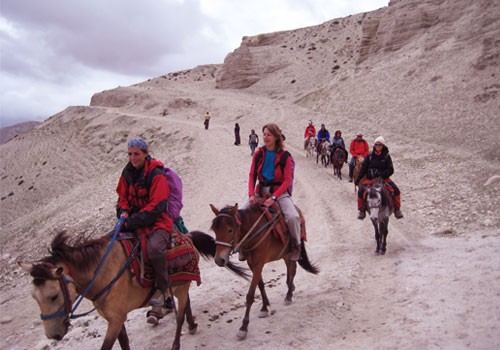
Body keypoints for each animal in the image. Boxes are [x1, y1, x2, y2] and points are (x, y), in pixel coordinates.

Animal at [19, 227, 246, 350]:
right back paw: (191, 325)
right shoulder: (115, 319)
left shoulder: (116, 319)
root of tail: (187, 237)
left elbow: (107, 346)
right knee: (185, 303)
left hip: (181, 287)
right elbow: (124, 343)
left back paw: (178, 340)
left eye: (53, 296)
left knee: (180, 314)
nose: (53, 335)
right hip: (178, 285)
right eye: (35, 298)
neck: (101, 273)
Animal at [208, 201, 318, 340]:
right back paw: (291, 287)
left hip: (292, 250)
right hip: (285, 253)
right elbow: (260, 285)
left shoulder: (259, 264)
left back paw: (289, 296)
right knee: (289, 269)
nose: (219, 260)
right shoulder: (252, 264)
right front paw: (265, 308)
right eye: (215, 230)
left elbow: (250, 295)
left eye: (230, 230)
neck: (253, 232)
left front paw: (243, 327)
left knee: (293, 270)